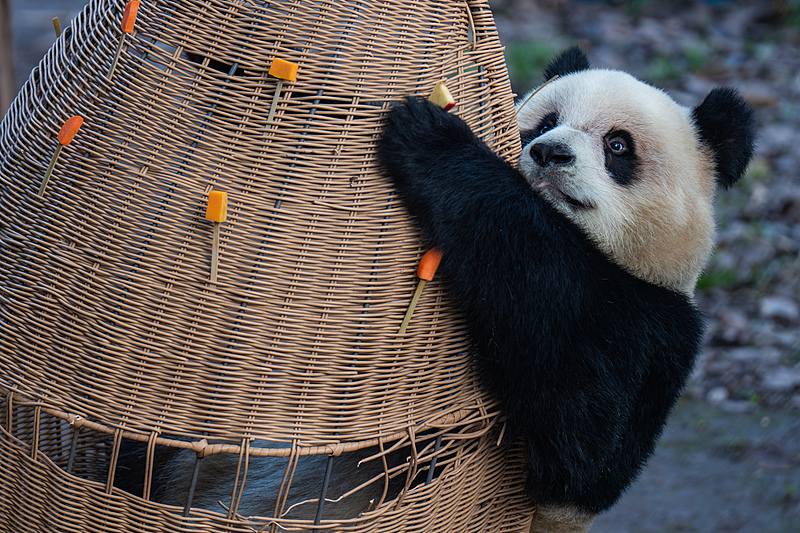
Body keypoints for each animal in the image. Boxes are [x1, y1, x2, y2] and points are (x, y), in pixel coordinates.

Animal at [378, 47, 752, 528]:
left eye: (618, 145)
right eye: (543, 123)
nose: (550, 152)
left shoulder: (648, 332)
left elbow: (580, 422)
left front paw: (432, 137)